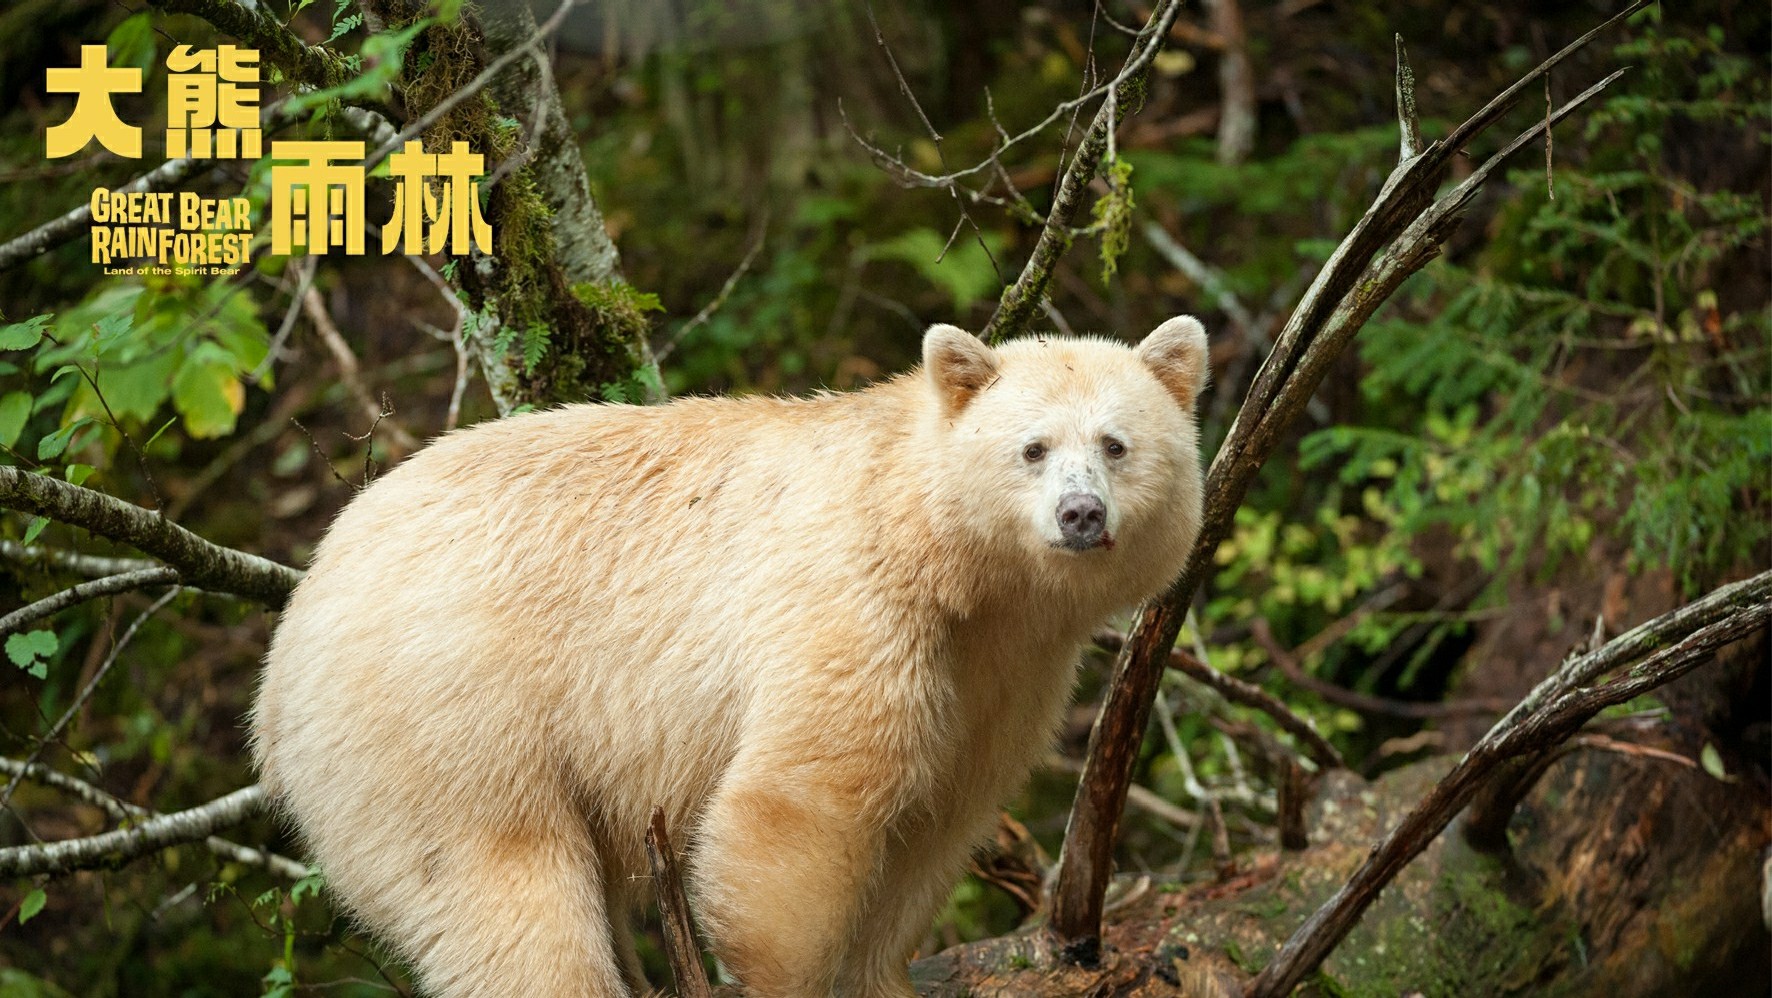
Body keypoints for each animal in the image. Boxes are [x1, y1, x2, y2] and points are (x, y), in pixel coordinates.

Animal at [250, 317, 1209, 998]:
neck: (940, 554)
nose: (1081, 514)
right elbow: (804, 799)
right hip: (444, 720)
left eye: (1117, 444)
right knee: (507, 899)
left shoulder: (1004, 670)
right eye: (1033, 448)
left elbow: (939, 816)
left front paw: (883, 978)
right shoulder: (849, 603)